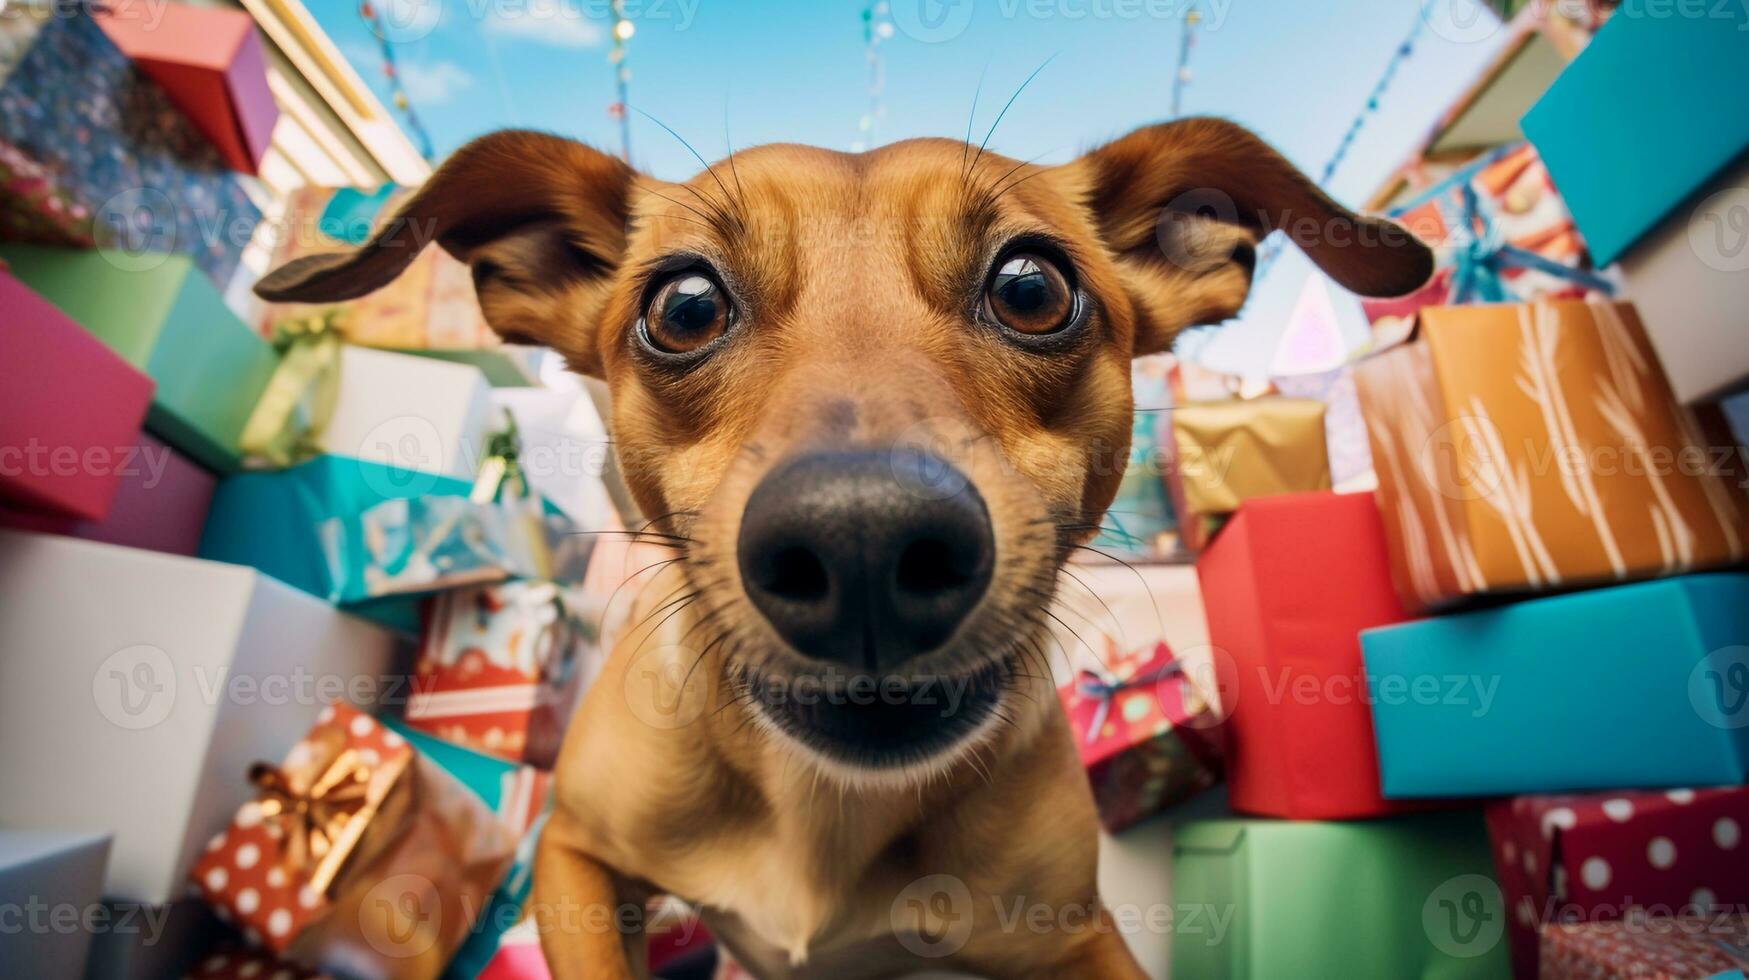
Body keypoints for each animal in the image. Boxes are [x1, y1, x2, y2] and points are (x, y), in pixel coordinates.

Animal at [262, 119, 1434, 973]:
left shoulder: (1075, 942)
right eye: (684, 304)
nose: (864, 539)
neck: (819, 809)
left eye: (1032, 287)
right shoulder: (574, 859)